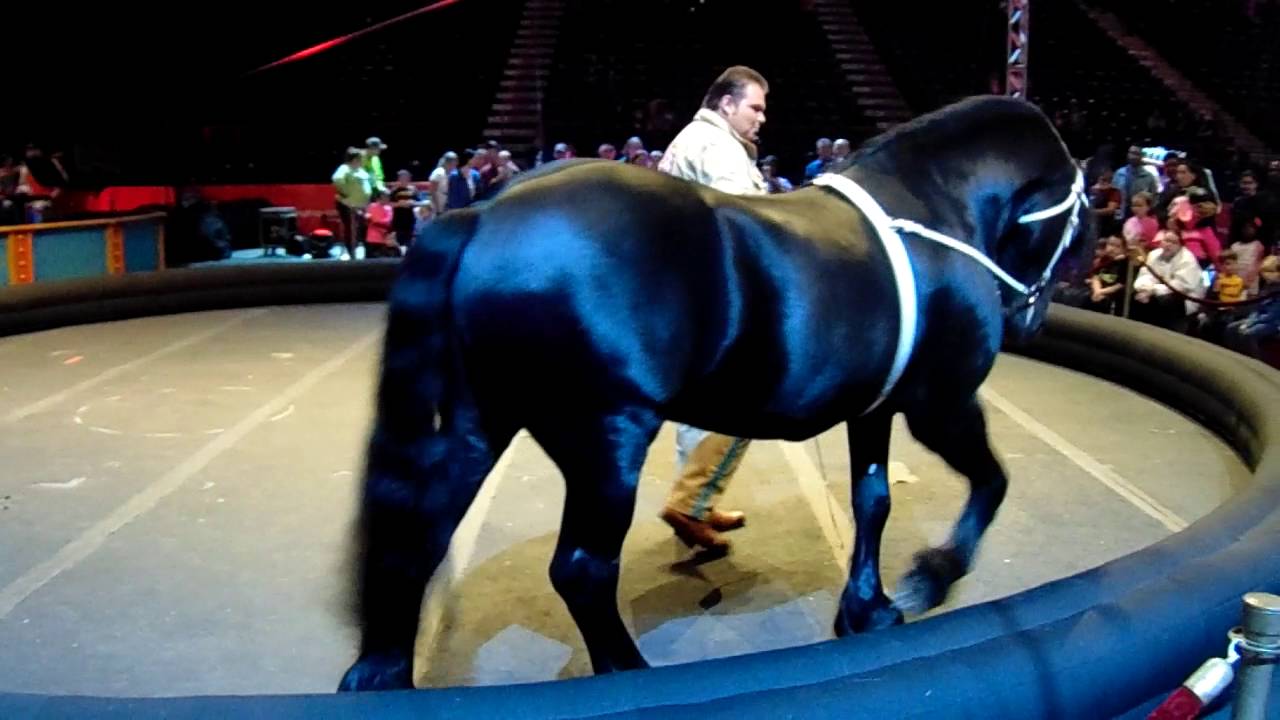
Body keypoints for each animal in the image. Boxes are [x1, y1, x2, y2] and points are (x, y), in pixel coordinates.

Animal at [337, 95, 1090, 691]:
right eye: (1080, 219)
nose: (1032, 316)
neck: (932, 209)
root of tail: (484, 215)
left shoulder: (874, 409)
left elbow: (871, 501)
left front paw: (868, 607)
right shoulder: (942, 403)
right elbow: (990, 482)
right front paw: (933, 574)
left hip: (482, 425)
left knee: (418, 541)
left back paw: (381, 675)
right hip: (606, 439)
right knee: (582, 570)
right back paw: (630, 676)